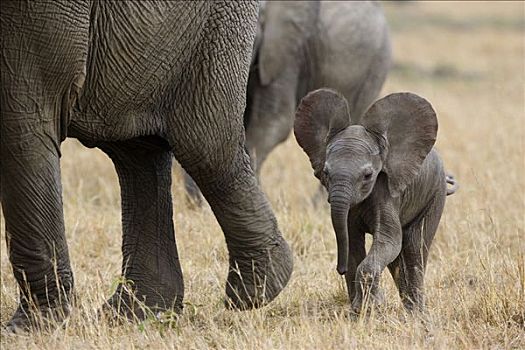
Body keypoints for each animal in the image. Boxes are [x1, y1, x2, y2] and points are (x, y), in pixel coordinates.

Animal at [0, 0, 290, 330]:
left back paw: (252, 291)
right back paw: (135, 313)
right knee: (136, 149)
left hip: (209, 26)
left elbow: (21, 118)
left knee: (205, 145)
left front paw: (29, 330)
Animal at [292, 87, 456, 312]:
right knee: (398, 258)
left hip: (434, 194)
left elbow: (389, 239)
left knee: (415, 248)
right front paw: (359, 311)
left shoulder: (387, 192)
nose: (339, 269)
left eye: (368, 175)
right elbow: (353, 242)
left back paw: (417, 313)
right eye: (326, 173)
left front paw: (370, 308)